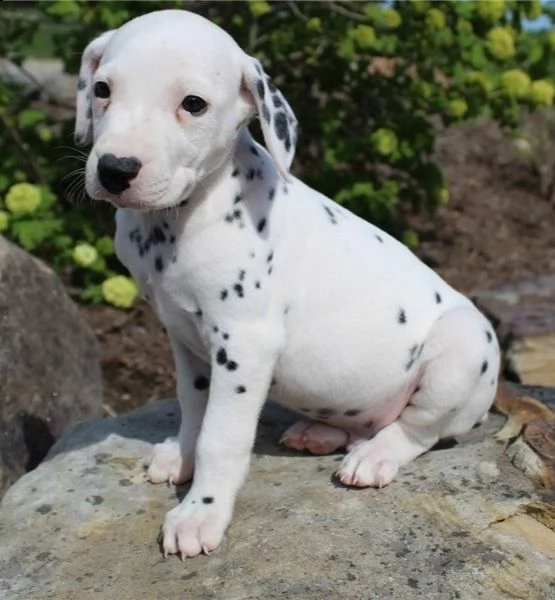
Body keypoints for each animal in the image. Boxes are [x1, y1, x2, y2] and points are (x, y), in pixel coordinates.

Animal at [75, 9, 500, 560]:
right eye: (102, 89)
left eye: (193, 104)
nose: (115, 169)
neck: (181, 219)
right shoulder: (184, 337)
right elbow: (194, 407)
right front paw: (181, 457)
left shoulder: (244, 345)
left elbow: (221, 437)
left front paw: (200, 513)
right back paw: (319, 434)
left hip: (463, 347)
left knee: (418, 429)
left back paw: (374, 456)